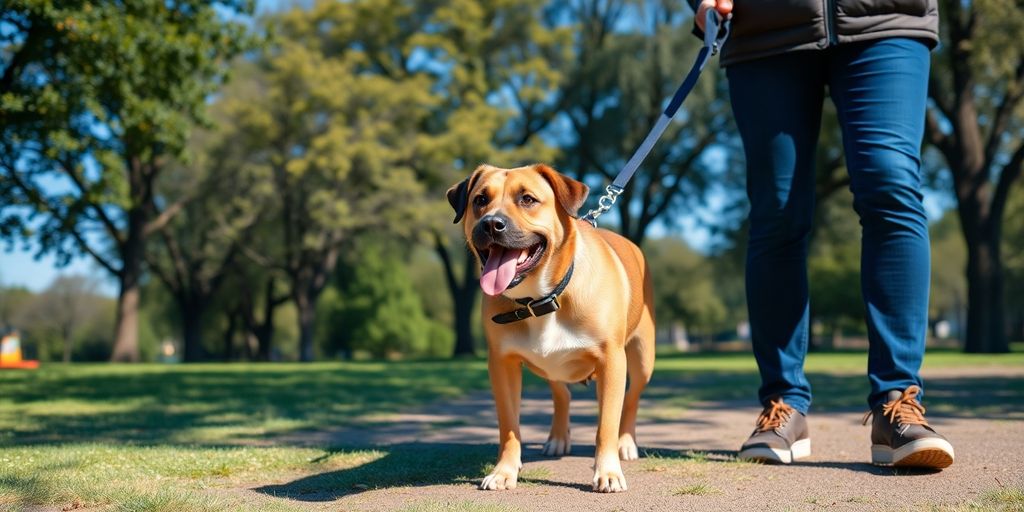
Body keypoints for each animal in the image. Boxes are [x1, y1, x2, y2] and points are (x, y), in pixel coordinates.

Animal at [446, 162, 655, 491]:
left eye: (528, 199)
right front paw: (504, 471)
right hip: (549, 364)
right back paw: (557, 439)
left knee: (630, 399)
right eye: (480, 200)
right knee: (562, 394)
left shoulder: (612, 360)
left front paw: (608, 471)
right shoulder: (502, 364)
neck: (542, 298)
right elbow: (509, 426)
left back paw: (626, 444)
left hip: (642, 359)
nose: (491, 224)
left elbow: (607, 423)